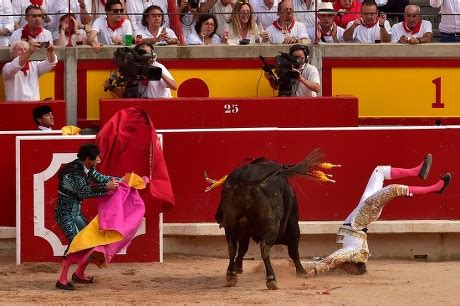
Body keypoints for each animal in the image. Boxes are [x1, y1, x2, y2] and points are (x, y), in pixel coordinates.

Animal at [210, 149, 336, 290]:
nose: (217, 216)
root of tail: (244, 177)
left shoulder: (245, 231)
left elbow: (243, 248)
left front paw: (238, 268)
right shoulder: (293, 223)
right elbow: (294, 251)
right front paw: (301, 272)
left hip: (231, 225)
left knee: (232, 247)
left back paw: (231, 275)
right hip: (271, 224)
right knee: (265, 248)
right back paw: (271, 279)